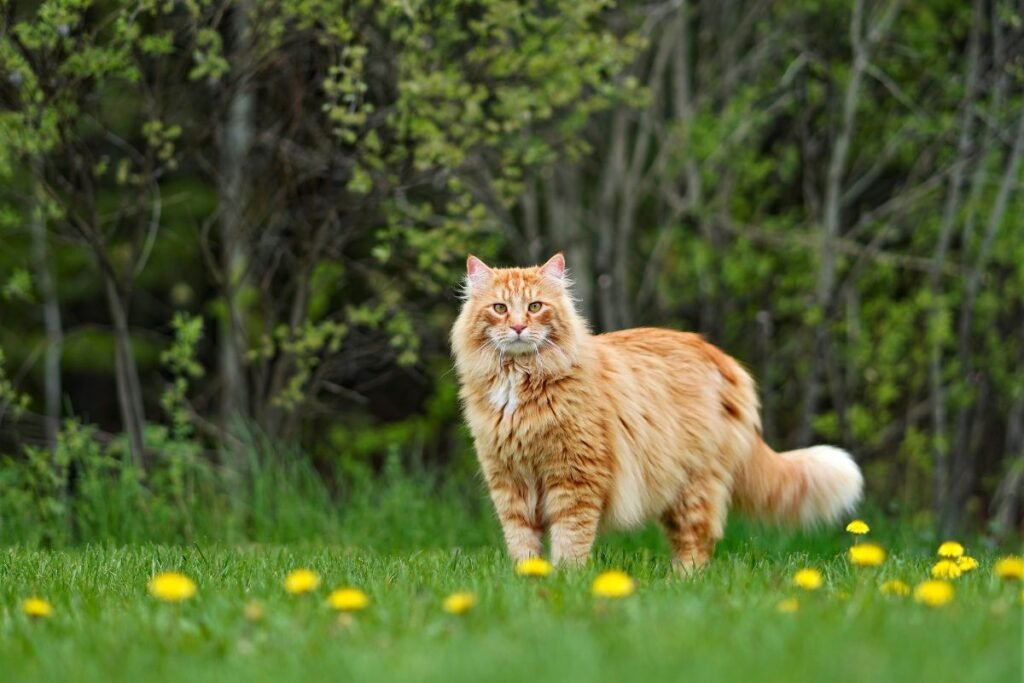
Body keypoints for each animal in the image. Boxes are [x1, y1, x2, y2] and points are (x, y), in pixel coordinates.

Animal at [452, 253, 860, 569]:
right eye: (500, 308)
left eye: (535, 307)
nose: (519, 326)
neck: (519, 382)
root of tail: (723, 359)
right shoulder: (509, 482)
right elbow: (522, 543)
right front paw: (531, 579)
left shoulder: (574, 479)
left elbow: (570, 541)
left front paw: (565, 580)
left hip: (693, 485)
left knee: (697, 546)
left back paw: (684, 585)